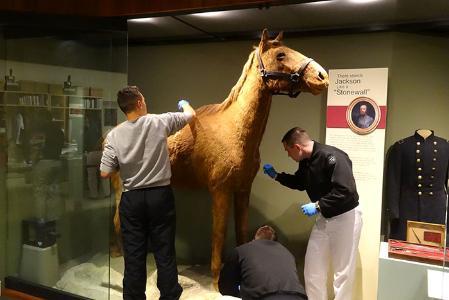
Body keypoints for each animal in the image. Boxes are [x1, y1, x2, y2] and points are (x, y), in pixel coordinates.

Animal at [109, 29, 326, 286]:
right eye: (281, 54)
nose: (322, 77)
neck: (234, 131)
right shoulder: (220, 191)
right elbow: (219, 234)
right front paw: (215, 283)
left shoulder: (242, 190)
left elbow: (241, 230)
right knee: (118, 222)